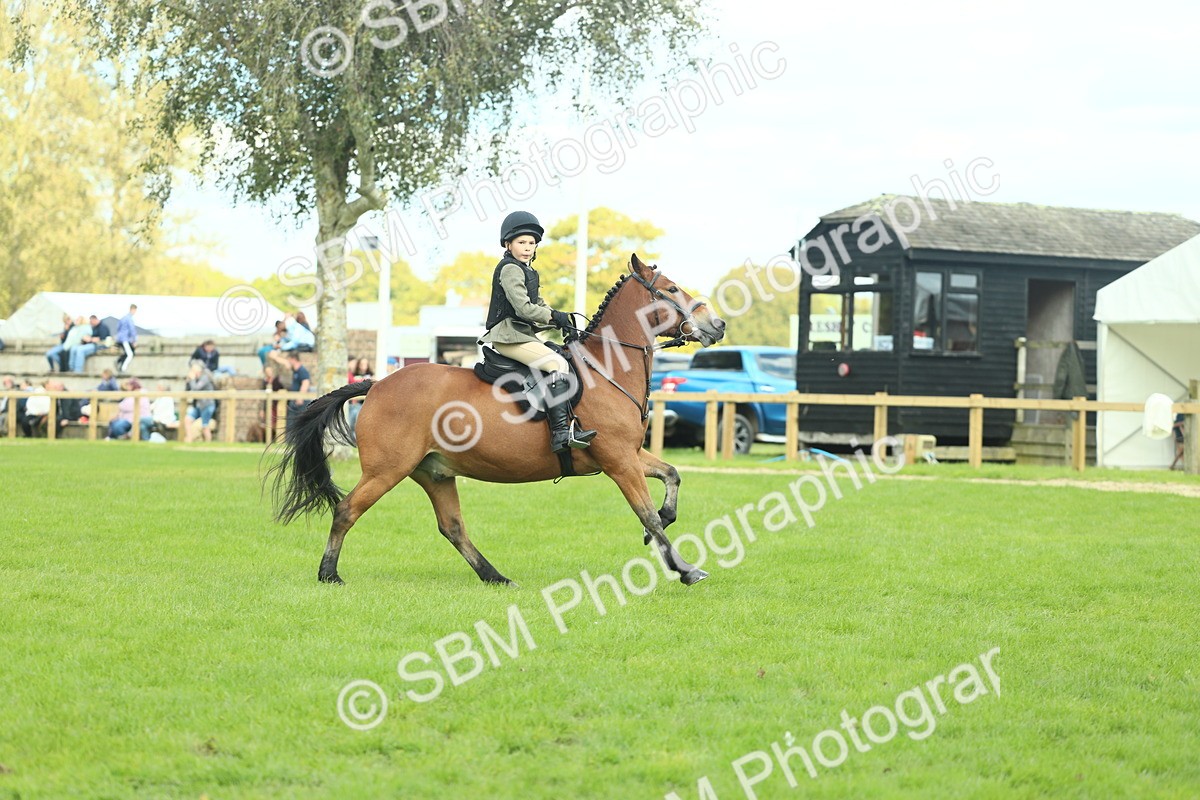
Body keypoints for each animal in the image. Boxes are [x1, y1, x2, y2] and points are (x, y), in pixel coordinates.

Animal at [267, 254, 726, 587]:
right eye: (671, 289)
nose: (717, 324)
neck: (607, 368)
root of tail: (377, 384)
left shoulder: (628, 455)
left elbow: (671, 477)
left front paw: (665, 523)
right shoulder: (618, 461)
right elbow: (647, 513)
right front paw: (685, 569)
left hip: (434, 472)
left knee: (452, 527)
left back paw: (495, 576)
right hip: (386, 470)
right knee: (346, 510)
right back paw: (329, 574)